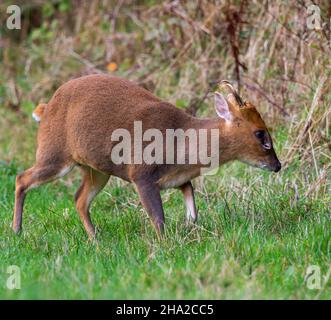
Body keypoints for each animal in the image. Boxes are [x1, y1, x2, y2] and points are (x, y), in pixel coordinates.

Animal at [13, 74, 282, 238]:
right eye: (260, 133)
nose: (278, 165)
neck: (182, 142)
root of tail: (45, 108)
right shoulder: (141, 174)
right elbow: (158, 218)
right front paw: (165, 244)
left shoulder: (178, 178)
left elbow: (192, 205)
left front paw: (189, 227)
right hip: (54, 154)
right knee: (21, 178)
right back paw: (17, 230)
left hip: (96, 170)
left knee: (79, 199)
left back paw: (96, 238)